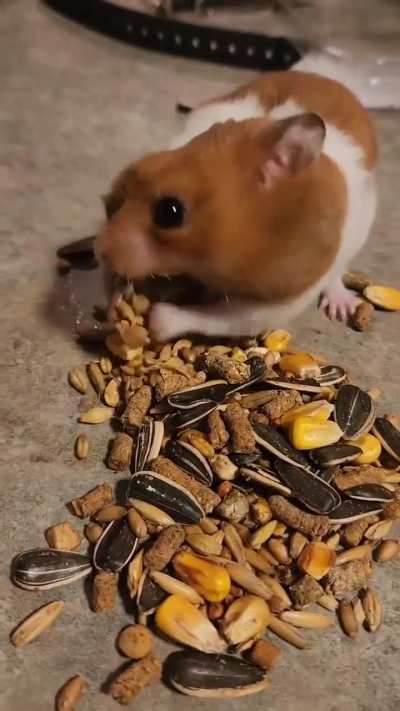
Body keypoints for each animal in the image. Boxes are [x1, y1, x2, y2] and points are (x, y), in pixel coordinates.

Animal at [97, 70, 377, 341]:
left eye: (170, 211)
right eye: (115, 201)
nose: (100, 252)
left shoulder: (283, 299)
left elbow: (222, 317)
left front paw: (156, 320)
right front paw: (117, 299)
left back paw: (341, 308)